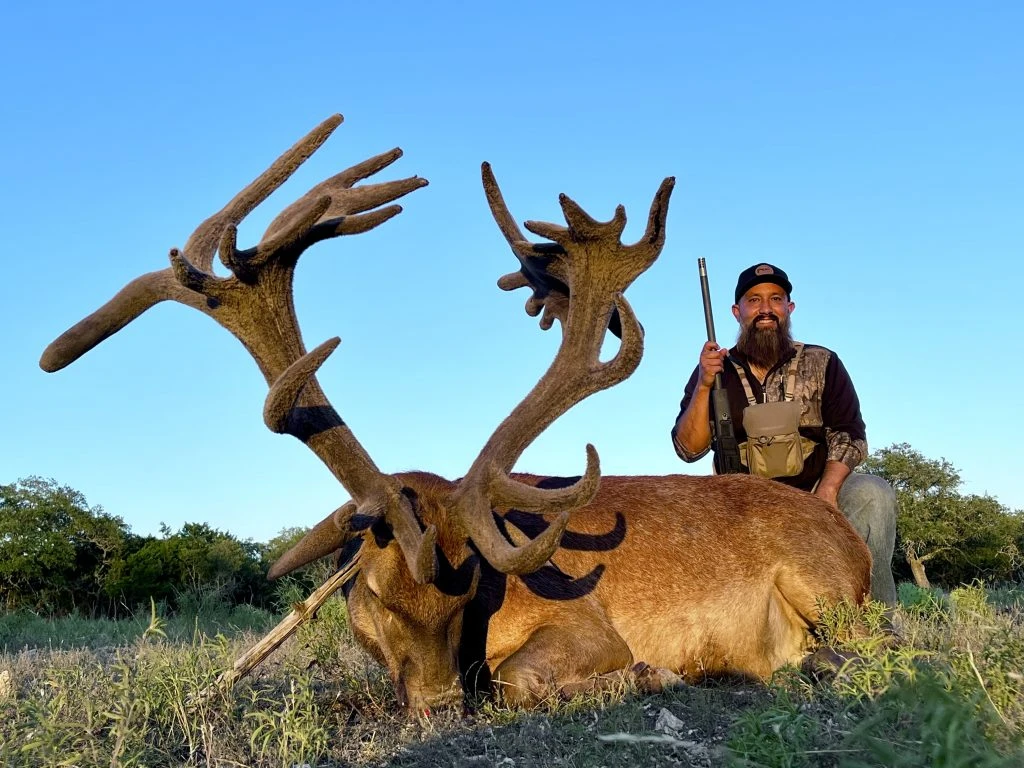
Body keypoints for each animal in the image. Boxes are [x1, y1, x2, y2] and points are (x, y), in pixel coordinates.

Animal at [41, 114, 871, 713]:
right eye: (371, 594)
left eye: (467, 588)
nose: (439, 703)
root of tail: (850, 540)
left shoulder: (589, 627)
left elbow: (517, 679)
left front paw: (657, 675)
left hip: (825, 585)